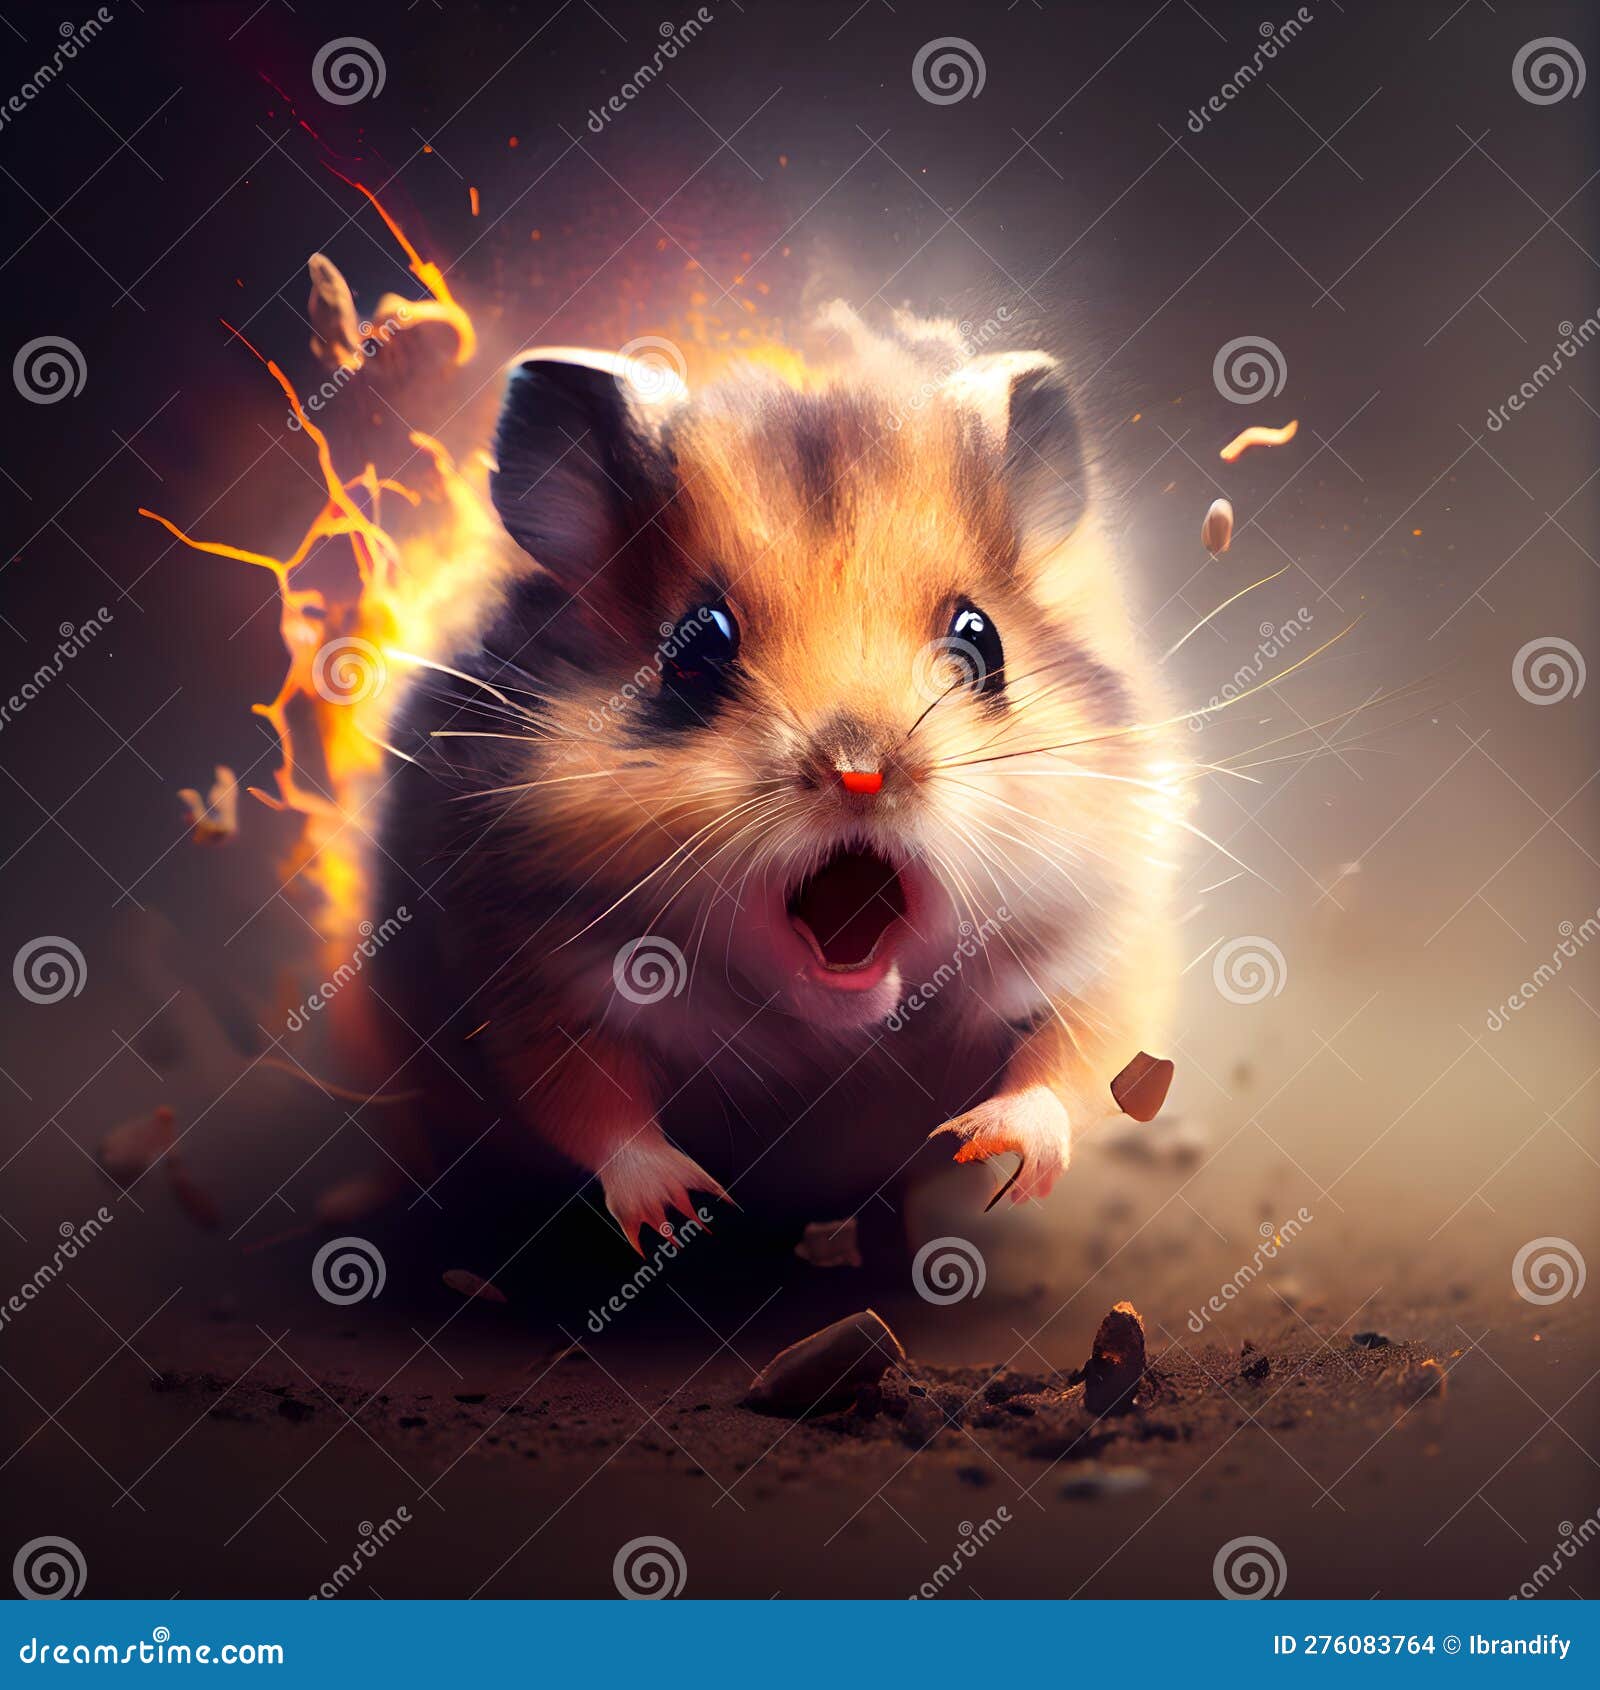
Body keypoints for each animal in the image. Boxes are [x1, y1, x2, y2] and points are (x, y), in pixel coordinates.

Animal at [372, 309, 1187, 1250]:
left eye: (981, 640)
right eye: (694, 645)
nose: (862, 775)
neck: (839, 1030)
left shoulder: (1099, 947)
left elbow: (1074, 1061)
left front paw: (990, 1154)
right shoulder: (532, 977)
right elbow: (596, 1106)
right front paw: (684, 1208)